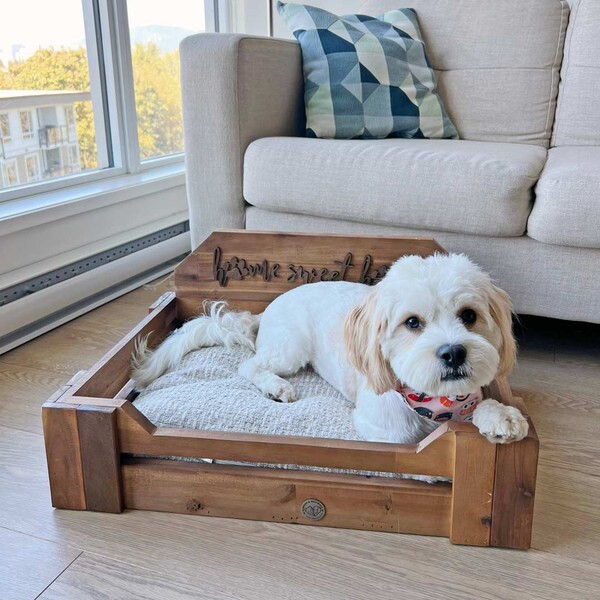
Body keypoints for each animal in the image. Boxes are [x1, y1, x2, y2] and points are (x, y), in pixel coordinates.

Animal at [134, 252, 528, 446]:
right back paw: (276, 386)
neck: (432, 401)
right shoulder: (384, 429)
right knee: (250, 366)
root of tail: (267, 309)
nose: (454, 353)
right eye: (412, 322)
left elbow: (481, 407)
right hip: (290, 348)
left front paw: (501, 417)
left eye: (469, 315)